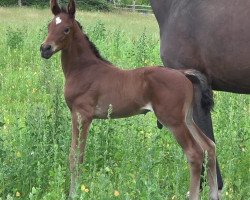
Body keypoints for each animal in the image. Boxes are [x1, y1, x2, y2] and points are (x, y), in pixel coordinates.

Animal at [40, 0, 218, 199]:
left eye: (66, 29)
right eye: (49, 25)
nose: (45, 49)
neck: (84, 70)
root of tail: (183, 73)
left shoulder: (82, 115)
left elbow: (76, 156)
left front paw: (73, 193)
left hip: (173, 121)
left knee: (195, 154)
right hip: (187, 118)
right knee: (209, 147)